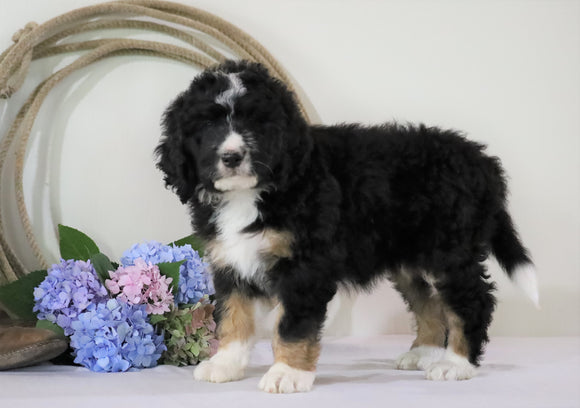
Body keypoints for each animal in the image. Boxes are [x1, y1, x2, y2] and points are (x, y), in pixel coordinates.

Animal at [155, 59, 540, 392]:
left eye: (256, 124)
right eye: (207, 126)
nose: (232, 157)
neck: (254, 193)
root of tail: (482, 161)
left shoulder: (305, 267)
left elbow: (293, 325)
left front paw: (287, 373)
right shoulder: (230, 261)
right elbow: (234, 315)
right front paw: (226, 364)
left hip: (448, 251)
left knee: (472, 301)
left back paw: (455, 364)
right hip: (410, 260)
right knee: (429, 303)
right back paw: (424, 353)